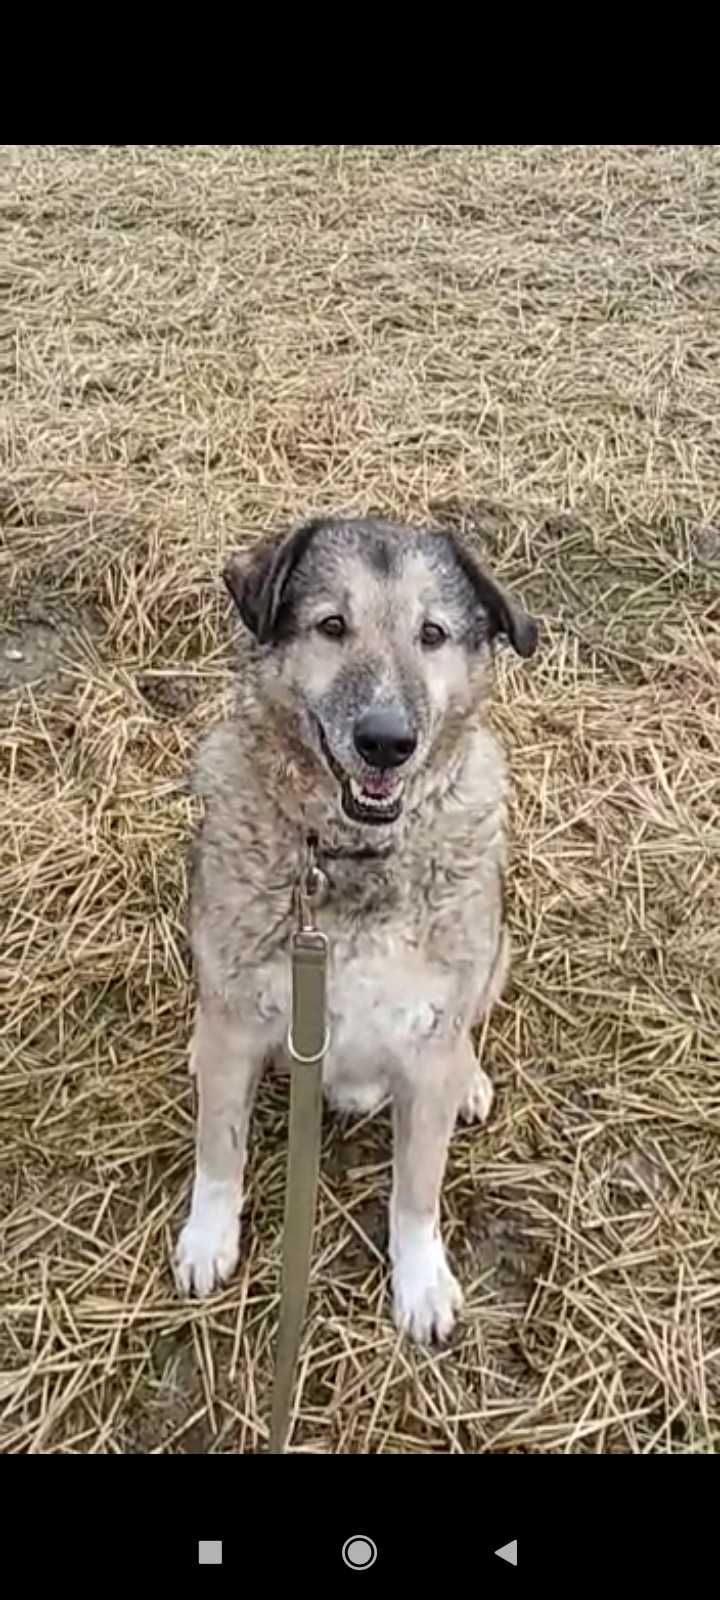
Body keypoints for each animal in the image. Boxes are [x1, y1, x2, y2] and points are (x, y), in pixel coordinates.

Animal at [176, 518, 534, 1344]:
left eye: (432, 634)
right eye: (332, 626)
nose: (385, 742)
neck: (350, 857)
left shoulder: (426, 1045)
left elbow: (417, 1191)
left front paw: (421, 1280)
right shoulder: (239, 1022)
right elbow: (220, 1148)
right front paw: (208, 1236)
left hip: (496, 949)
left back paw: (471, 1078)